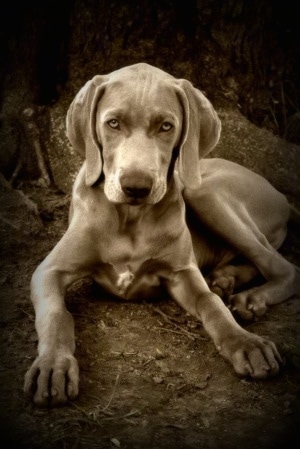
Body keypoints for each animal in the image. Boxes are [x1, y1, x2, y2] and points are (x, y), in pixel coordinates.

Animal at [24, 62, 300, 406]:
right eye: (113, 123)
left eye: (166, 126)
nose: (136, 187)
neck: (130, 218)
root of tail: (282, 197)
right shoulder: (49, 271)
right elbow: (55, 315)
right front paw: (53, 365)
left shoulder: (182, 272)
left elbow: (211, 304)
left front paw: (246, 343)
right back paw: (229, 280)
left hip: (203, 189)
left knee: (284, 267)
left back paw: (250, 297)